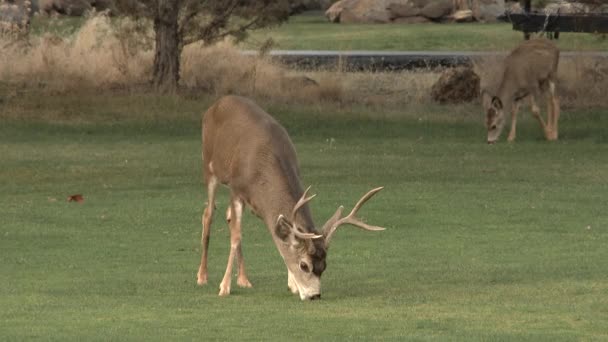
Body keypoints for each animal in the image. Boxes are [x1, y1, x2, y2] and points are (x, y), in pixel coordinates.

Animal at [195, 95, 384, 300]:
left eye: (324, 266)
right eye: (304, 265)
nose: (314, 295)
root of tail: (218, 103)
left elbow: (280, 240)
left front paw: (292, 285)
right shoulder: (236, 189)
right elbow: (236, 237)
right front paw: (224, 287)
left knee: (228, 217)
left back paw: (244, 279)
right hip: (209, 167)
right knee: (208, 214)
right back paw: (202, 276)